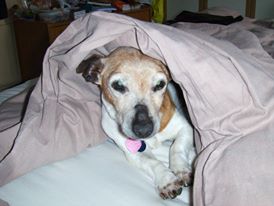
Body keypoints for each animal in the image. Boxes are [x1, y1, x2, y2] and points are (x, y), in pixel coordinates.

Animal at [76, 46, 196, 200]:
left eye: (160, 84)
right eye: (118, 85)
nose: (144, 129)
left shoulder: (185, 128)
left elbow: (176, 147)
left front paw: (181, 170)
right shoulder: (133, 153)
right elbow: (153, 162)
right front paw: (167, 180)